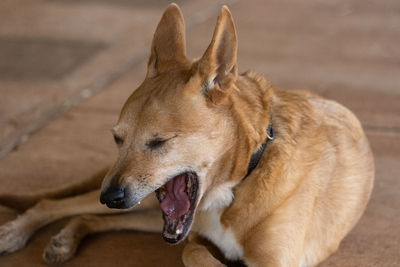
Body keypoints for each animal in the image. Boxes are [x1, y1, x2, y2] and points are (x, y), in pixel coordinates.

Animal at [0, 4, 376, 267]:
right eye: (117, 139)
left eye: (160, 142)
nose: (110, 196)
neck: (243, 178)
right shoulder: (193, 236)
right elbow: (192, 253)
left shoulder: (272, 259)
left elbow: (192, 253)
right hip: (142, 199)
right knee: (57, 203)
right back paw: (19, 232)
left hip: (144, 206)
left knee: (89, 215)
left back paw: (66, 236)